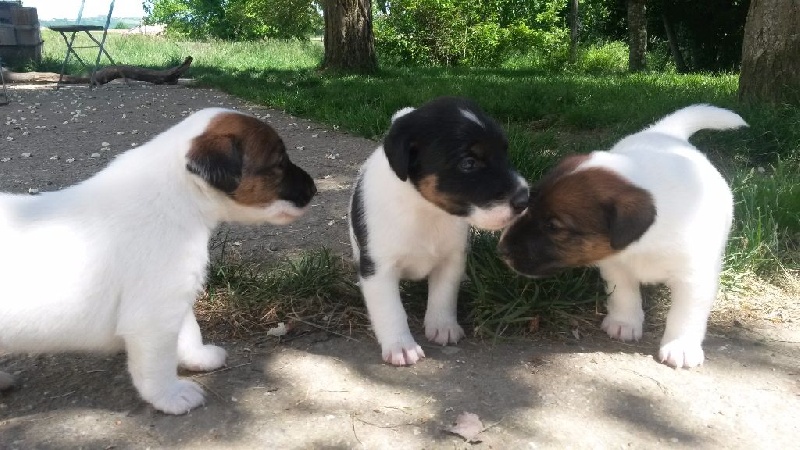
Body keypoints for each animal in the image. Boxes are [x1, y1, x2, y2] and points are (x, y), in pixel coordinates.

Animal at [0, 107, 318, 414]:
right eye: (279, 163)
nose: (315, 189)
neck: (177, 196)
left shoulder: (174, 296)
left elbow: (189, 330)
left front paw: (198, 357)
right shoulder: (153, 317)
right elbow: (159, 364)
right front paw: (171, 396)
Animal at [350, 96, 532, 366]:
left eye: (504, 152)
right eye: (469, 163)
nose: (524, 200)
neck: (426, 211)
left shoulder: (452, 259)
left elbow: (443, 295)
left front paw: (443, 326)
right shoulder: (379, 268)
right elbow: (391, 310)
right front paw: (401, 345)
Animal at [496, 104, 748, 370]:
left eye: (553, 226)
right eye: (528, 206)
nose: (501, 250)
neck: (643, 244)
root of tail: (666, 132)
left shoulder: (694, 277)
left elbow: (686, 313)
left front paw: (680, 345)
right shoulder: (614, 264)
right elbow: (623, 294)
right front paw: (624, 323)